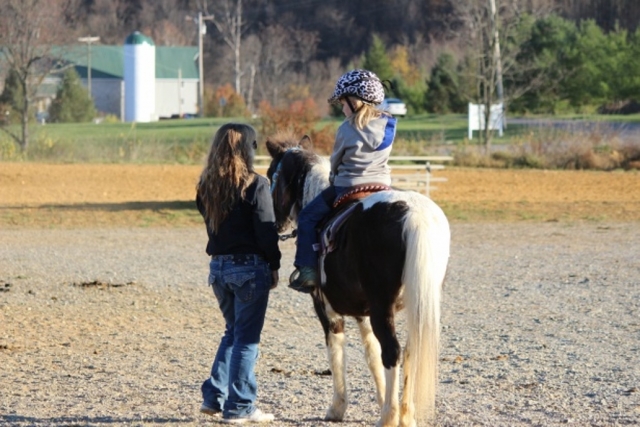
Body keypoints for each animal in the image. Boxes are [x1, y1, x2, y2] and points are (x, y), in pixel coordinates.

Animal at [265, 132, 451, 427]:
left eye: (271, 174)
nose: (277, 224)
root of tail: (413, 214)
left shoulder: (327, 310)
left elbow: (337, 354)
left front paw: (337, 408)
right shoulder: (363, 313)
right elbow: (371, 354)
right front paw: (383, 397)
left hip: (382, 307)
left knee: (393, 351)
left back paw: (388, 418)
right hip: (416, 304)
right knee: (409, 350)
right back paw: (405, 415)